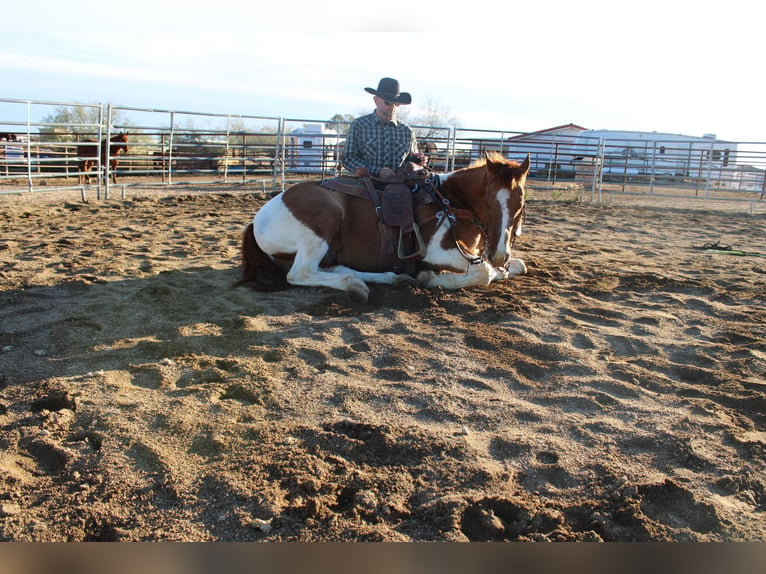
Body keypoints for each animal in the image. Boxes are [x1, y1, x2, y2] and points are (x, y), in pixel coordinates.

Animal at [238, 153, 528, 306]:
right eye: (488, 201)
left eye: (521, 203)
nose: (499, 253)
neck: (450, 201)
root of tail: (257, 220)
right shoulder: (436, 251)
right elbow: (484, 272)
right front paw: (429, 278)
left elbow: (514, 266)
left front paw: (507, 267)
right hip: (324, 221)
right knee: (300, 273)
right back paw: (355, 285)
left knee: (333, 268)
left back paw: (392, 278)